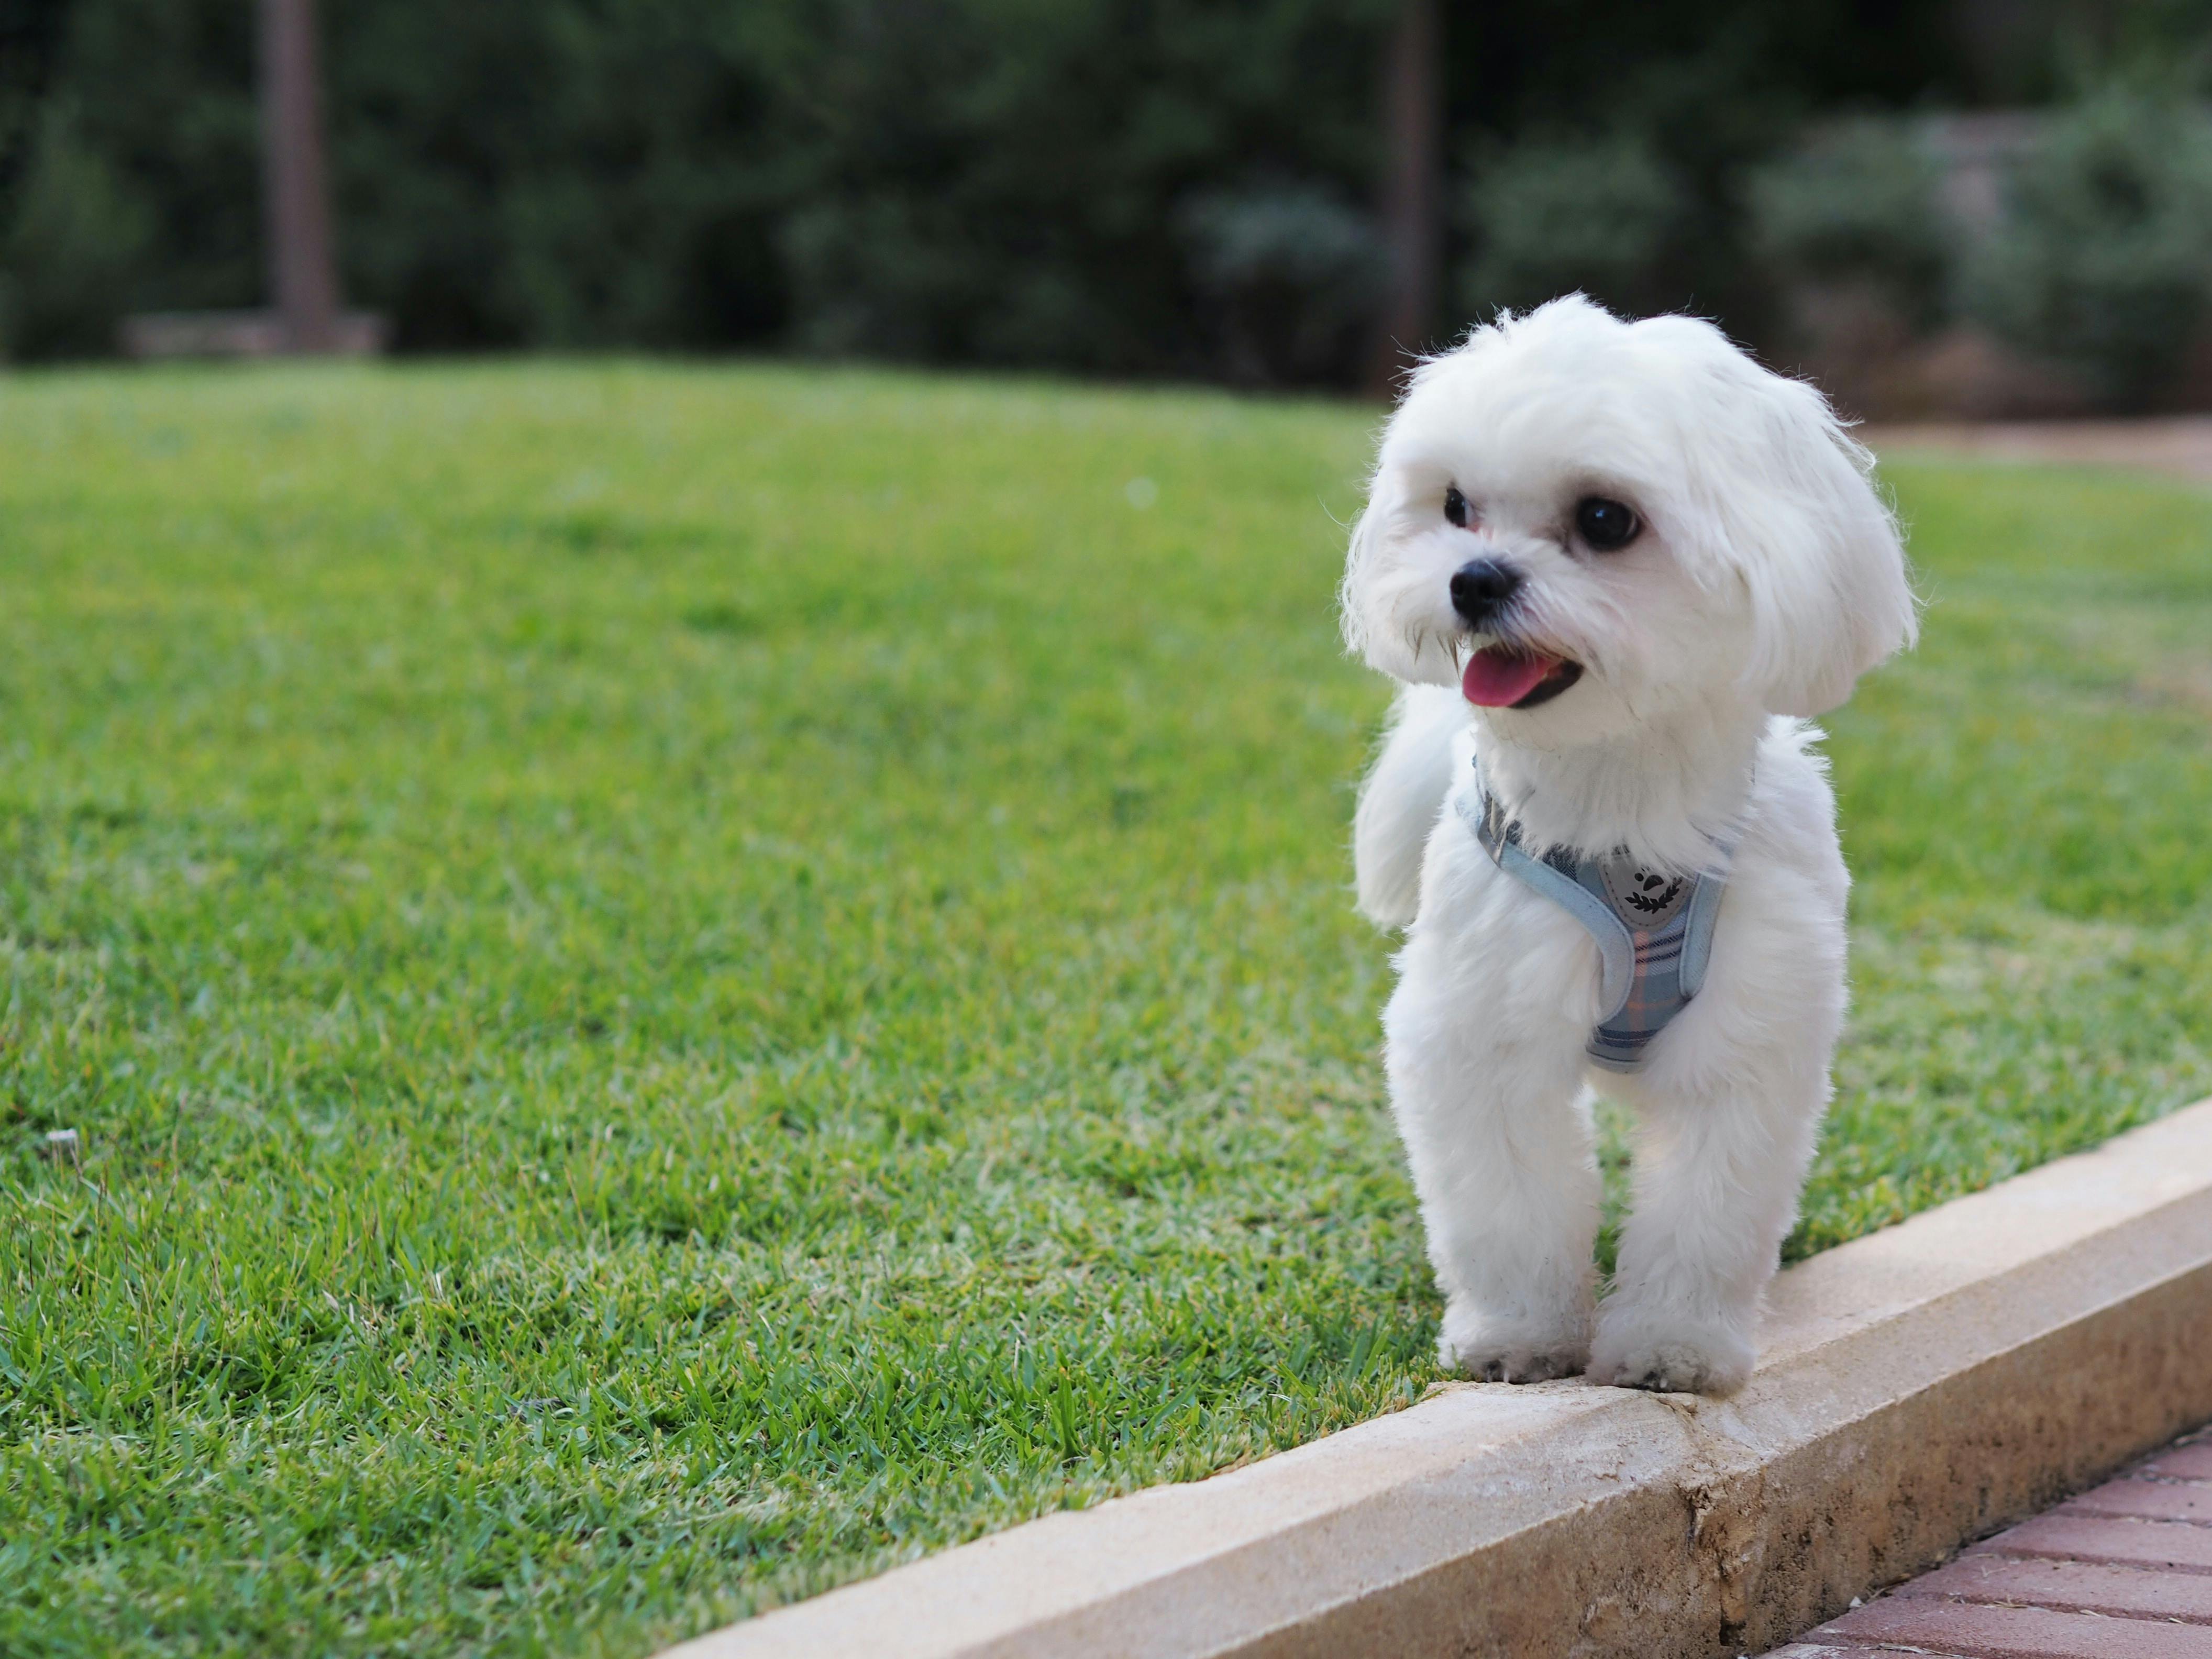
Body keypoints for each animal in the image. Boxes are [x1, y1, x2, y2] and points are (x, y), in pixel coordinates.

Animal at [1336, 296, 1911, 1389]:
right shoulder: (1482, 1023)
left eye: (1605, 520)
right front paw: (1519, 1333)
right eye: (1454, 505)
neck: (1620, 798)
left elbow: (1704, 1211)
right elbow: (1508, 1202)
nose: (1471, 579)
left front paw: (1670, 1345)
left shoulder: (1745, 1036)